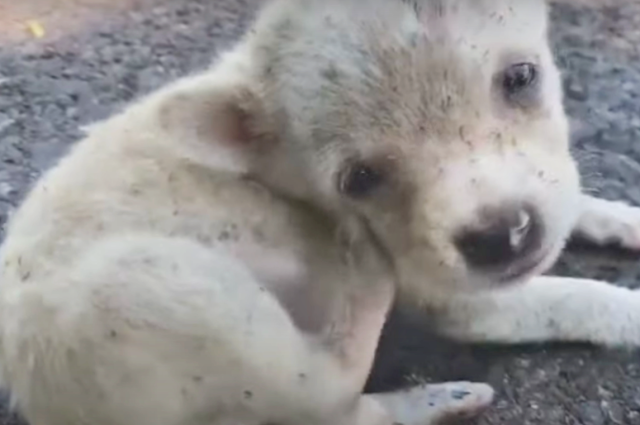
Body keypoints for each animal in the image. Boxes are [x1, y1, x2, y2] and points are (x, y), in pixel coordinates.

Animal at [1, 0, 640, 424]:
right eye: (359, 180)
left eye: (521, 77)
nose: (503, 236)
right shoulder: (455, 293)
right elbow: (575, 298)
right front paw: (627, 311)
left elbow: (571, 201)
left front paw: (621, 218)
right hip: (156, 290)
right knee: (328, 397)